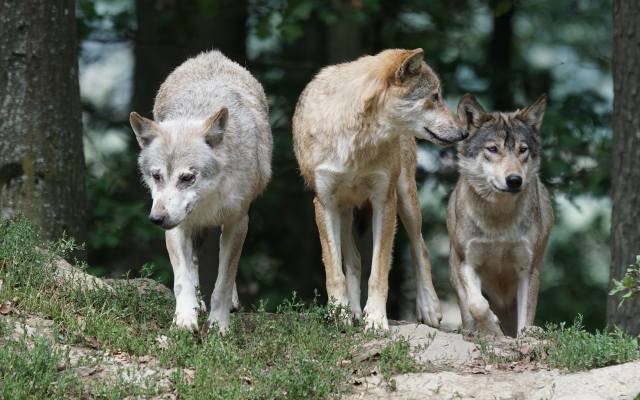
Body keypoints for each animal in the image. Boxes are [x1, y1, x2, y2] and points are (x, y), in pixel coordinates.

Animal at [129, 49, 272, 332]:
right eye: (157, 176)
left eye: (187, 178)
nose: (156, 219)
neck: (207, 200)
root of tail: (211, 55)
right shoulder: (177, 227)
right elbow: (182, 280)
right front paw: (185, 319)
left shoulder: (238, 222)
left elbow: (223, 282)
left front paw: (219, 326)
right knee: (193, 265)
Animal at [292, 48, 468, 330]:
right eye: (435, 97)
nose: (464, 132)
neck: (356, 140)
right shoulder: (324, 203)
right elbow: (334, 271)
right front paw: (340, 314)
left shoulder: (384, 201)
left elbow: (379, 272)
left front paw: (375, 319)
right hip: (344, 211)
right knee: (353, 260)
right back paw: (352, 312)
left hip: (406, 198)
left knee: (421, 247)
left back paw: (429, 307)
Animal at [448, 94, 552, 338]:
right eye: (493, 149)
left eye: (523, 149)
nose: (514, 180)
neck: (499, 220)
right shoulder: (467, 263)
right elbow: (477, 305)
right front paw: (492, 328)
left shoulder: (528, 269)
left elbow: (526, 318)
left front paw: (524, 336)